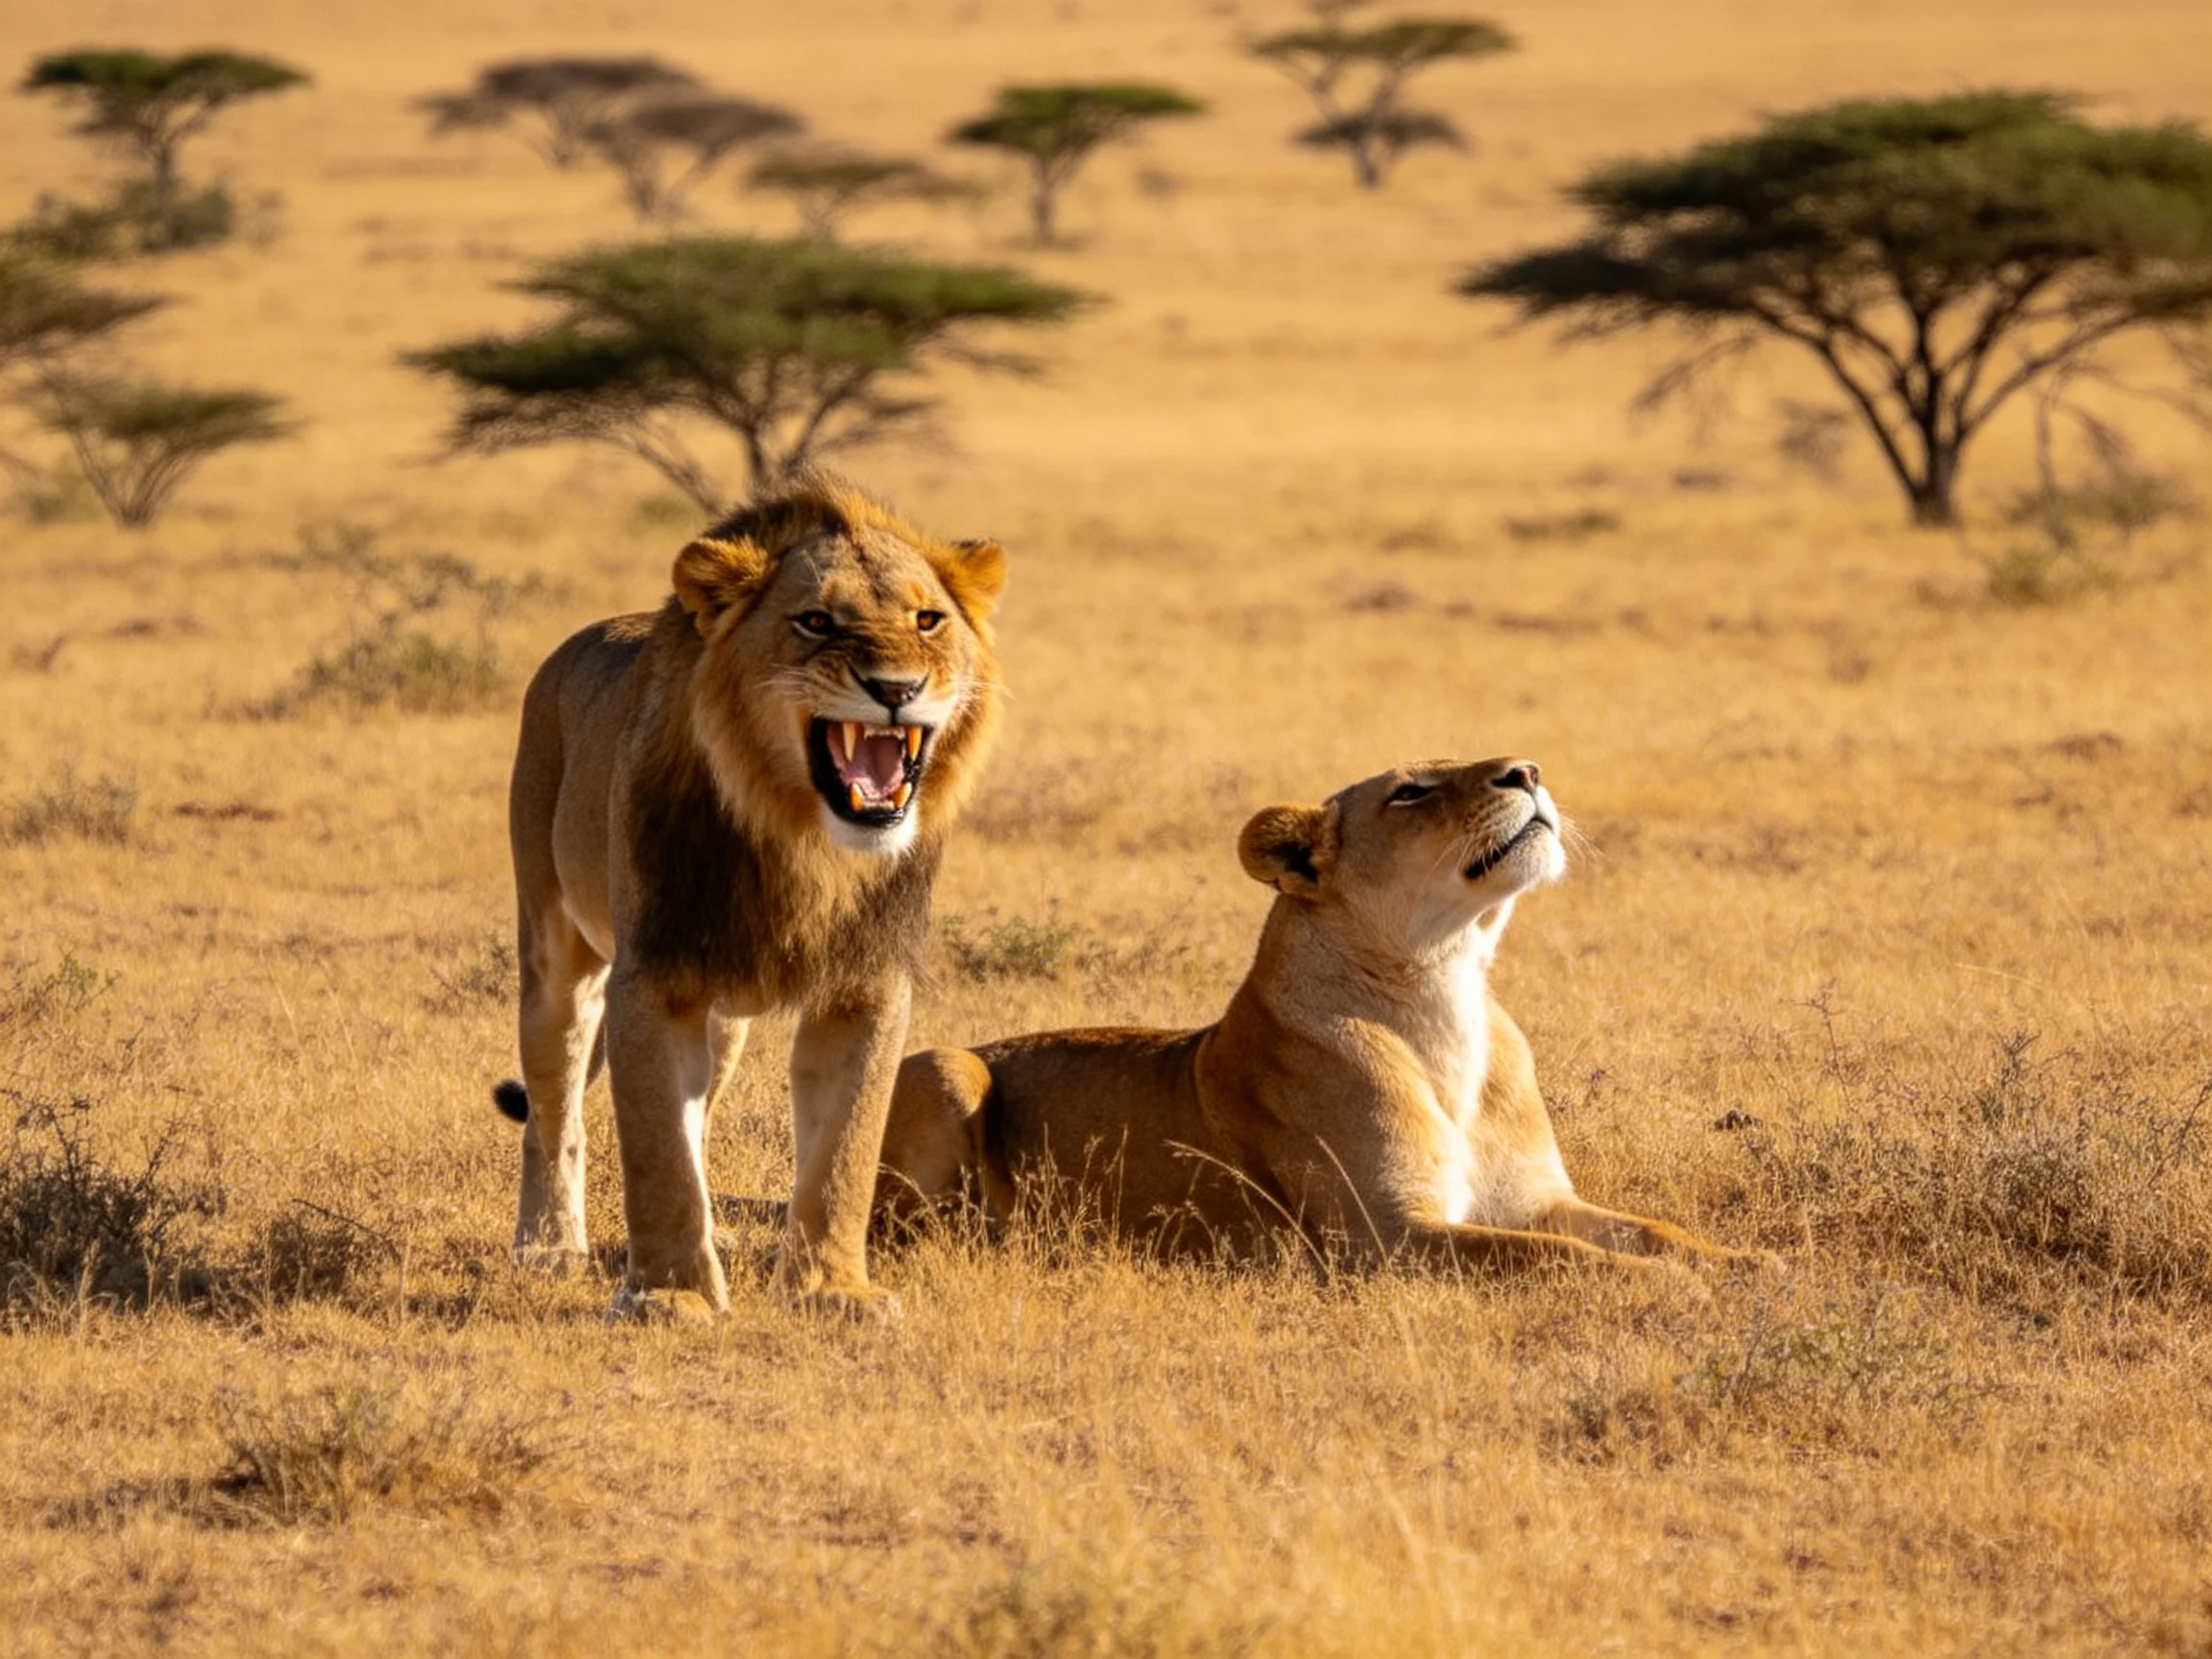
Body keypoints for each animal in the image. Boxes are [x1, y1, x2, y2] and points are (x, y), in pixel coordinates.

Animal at [492, 475, 1006, 1320]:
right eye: (816, 621)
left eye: (927, 620)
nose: (897, 690)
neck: (803, 838)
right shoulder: (654, 976)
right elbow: (657, 1152)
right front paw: (669, 1297)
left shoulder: (863, 986)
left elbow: (843, 1153)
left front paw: (832, 1292)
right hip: (553, 953)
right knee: (552, 1106)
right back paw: (548, 1246)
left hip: (724, 1022)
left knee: (696, 1110)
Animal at [874, 757, 1765, 1275]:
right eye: (1410, 790)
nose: (1528, 769)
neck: (1446, 989)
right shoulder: (1388, 1236)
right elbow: (1558, 1258)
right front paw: (1674, 1291)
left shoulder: (1537, 1200)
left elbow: (1651, 1232)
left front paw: (1750, 1267)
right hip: (944, 1065)